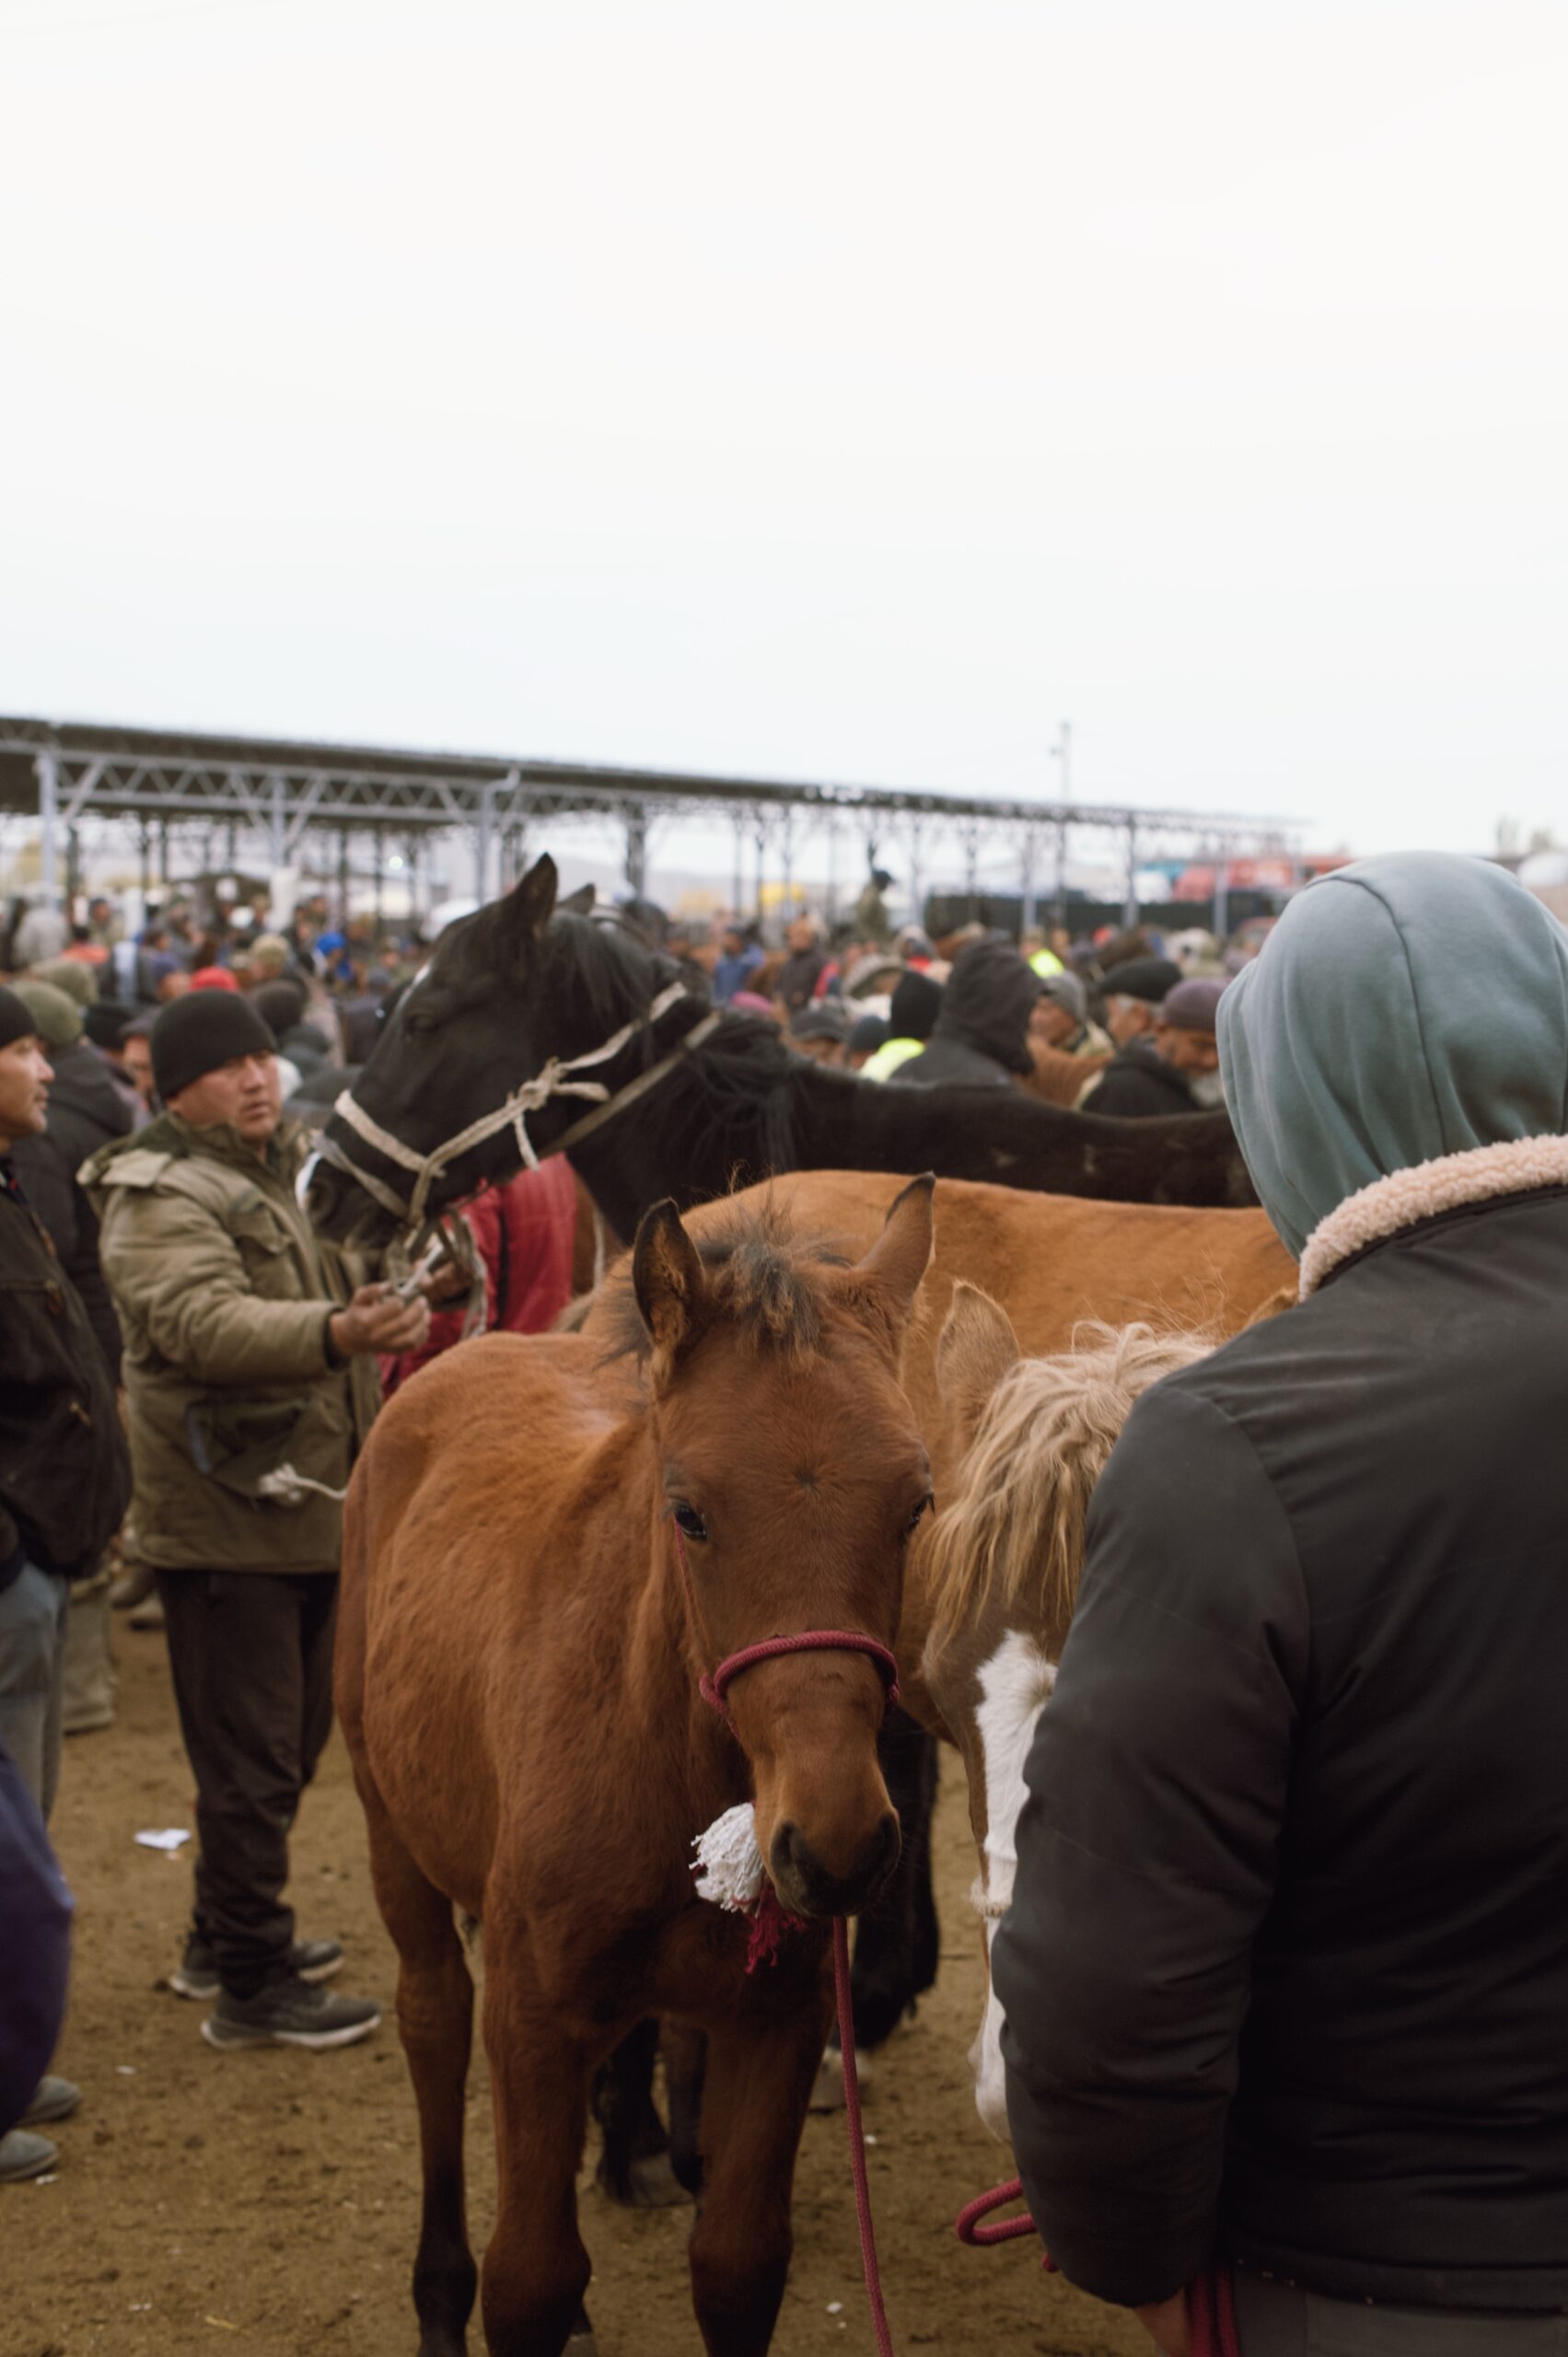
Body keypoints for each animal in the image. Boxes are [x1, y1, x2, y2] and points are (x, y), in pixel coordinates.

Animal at [337, 1181, 939, 2357]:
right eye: (688, 1508)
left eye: (913, 1504)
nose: (836, 1845)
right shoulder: (529, 2018)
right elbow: (527, 2278)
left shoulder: (775, 2021)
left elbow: (738, 2265)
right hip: (392, 1832)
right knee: (431, 2021)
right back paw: (438, 2290)